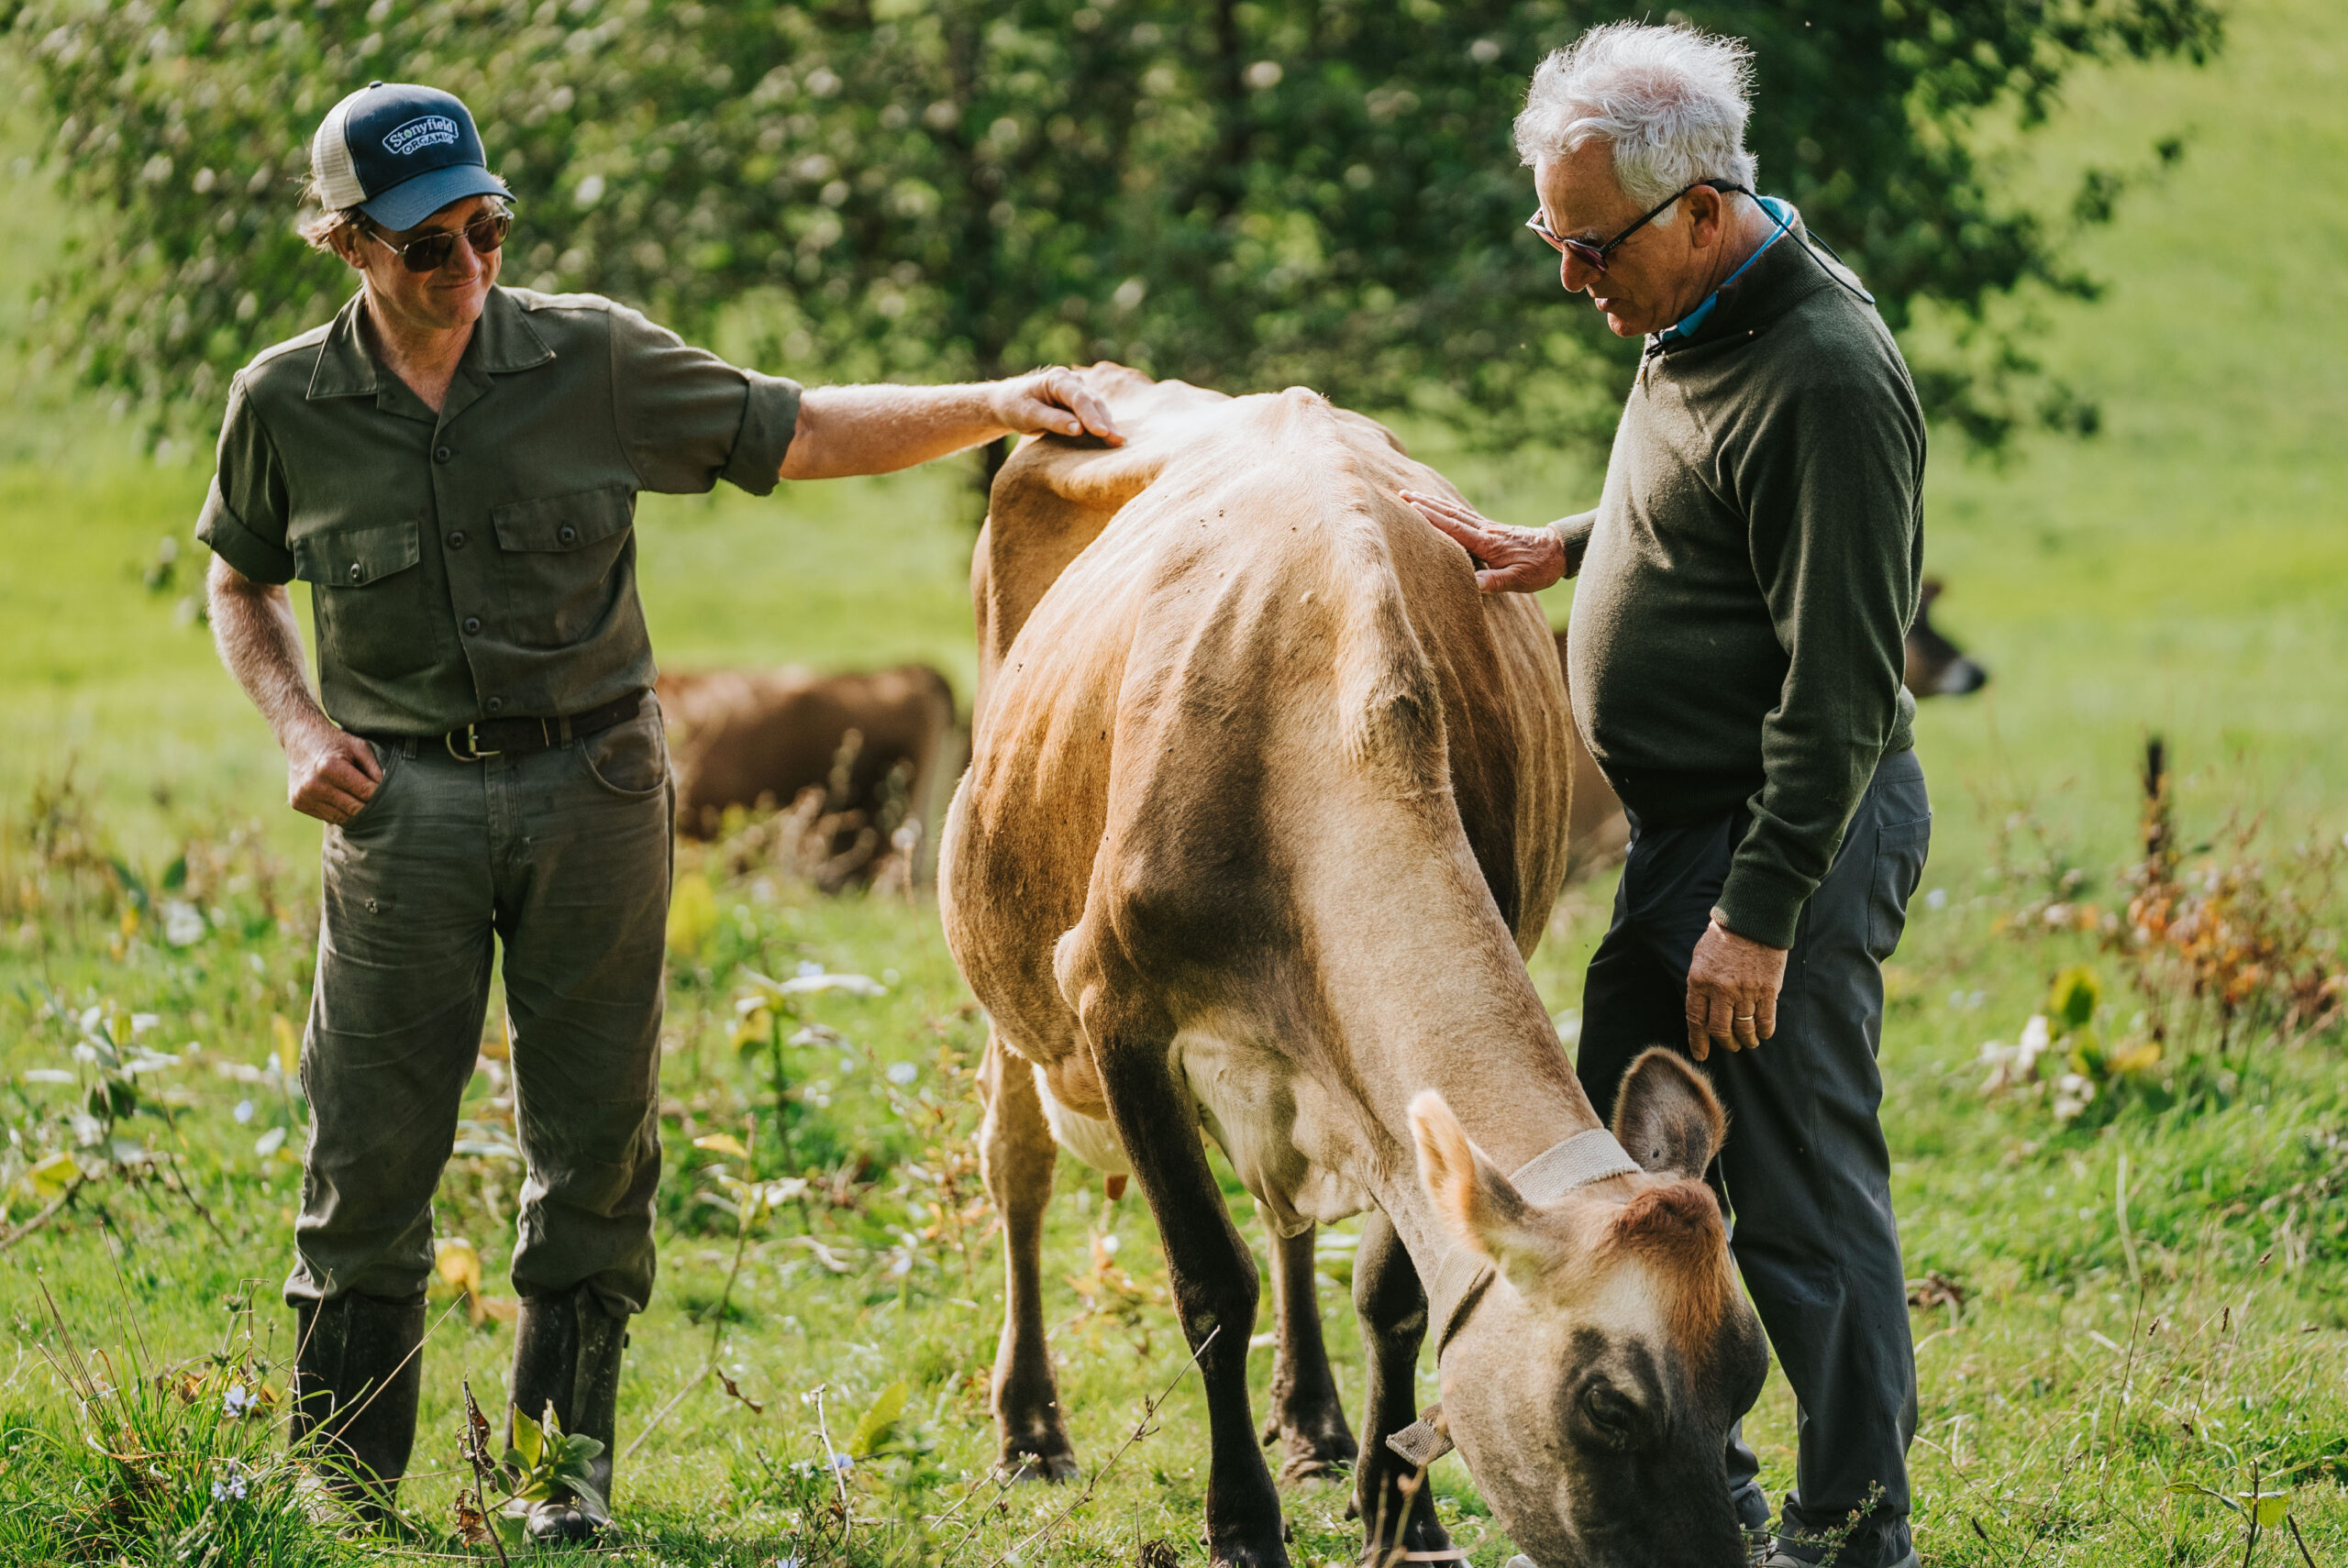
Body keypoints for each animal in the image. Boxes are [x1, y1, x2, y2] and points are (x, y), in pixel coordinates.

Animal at [934, 370, 1766, 1568]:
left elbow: (1390, 1291)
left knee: (1285, 1215)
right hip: (1013, 988)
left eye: (1746, 1378)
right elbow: (1209, 1281)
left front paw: (1401, 1514)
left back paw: (1316, 1427)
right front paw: (1241, 1522)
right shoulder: (1112, 1009)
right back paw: (1031, 1430)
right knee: (1018, 1167)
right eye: (1609, 1405)